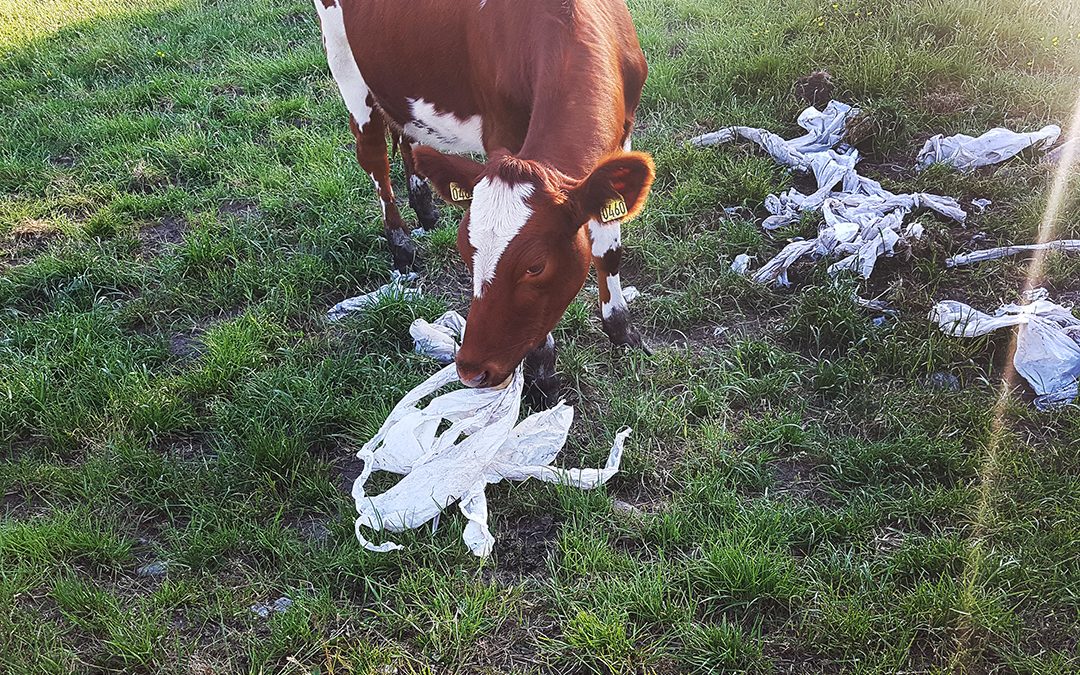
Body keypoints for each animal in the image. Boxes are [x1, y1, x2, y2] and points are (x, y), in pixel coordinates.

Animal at [313, 0, 648, 399]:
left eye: (535, 266)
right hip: (344, 59)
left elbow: (608, 247)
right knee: (374, 156)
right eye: (465, 252)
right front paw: (541, 372)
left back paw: (425, 208)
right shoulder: (500, 131)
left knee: (408, 135)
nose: (471, 370)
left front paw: (623, 332)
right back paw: (400, 243)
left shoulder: (621, 135)